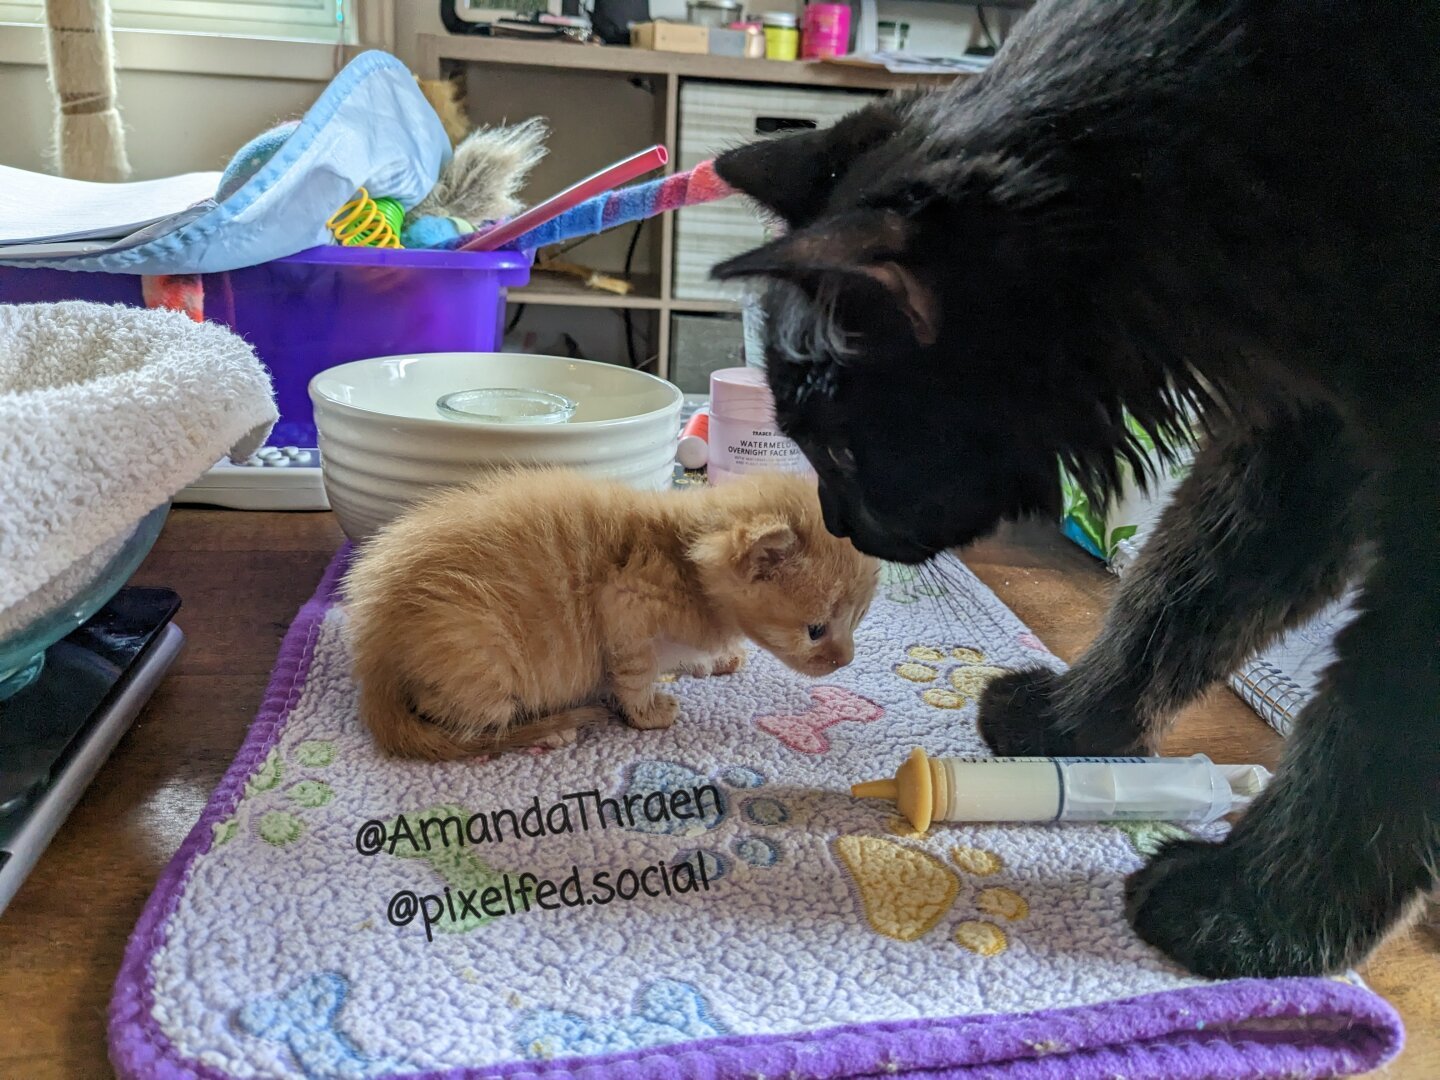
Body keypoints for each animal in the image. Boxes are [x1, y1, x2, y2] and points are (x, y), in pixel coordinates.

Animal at [342, 472, 875, 760]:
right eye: (815, 630)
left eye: (858, 621)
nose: (847, 662)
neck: (684, 561)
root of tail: (373, 650)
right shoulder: (623, 607)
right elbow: (633, 678)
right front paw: (649, 713)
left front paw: (716, 659)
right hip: (481, 657)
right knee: (456, 718)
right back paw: (546, 728)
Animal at [711, 0, 1440, 979]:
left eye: (839, 449)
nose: (834, 522)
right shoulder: (1299, 433)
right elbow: (1182, 593)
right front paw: (1069, 726)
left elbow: (1374, 731)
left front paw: (1256, 916)